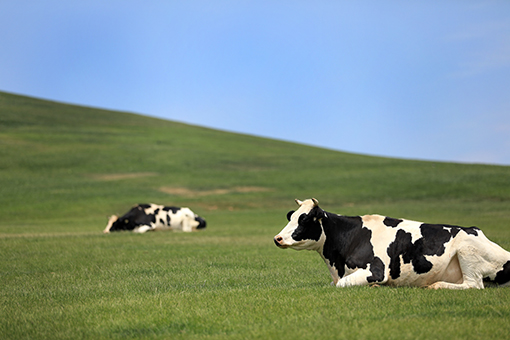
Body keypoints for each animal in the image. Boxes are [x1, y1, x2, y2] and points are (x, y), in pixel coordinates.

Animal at [274, 199, 510, 290]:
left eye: (304, 219)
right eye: (291, 216)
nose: (277, 238)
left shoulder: (377, 270)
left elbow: (343, 284)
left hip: (467, 249)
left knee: (474, 284)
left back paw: (436, 285)